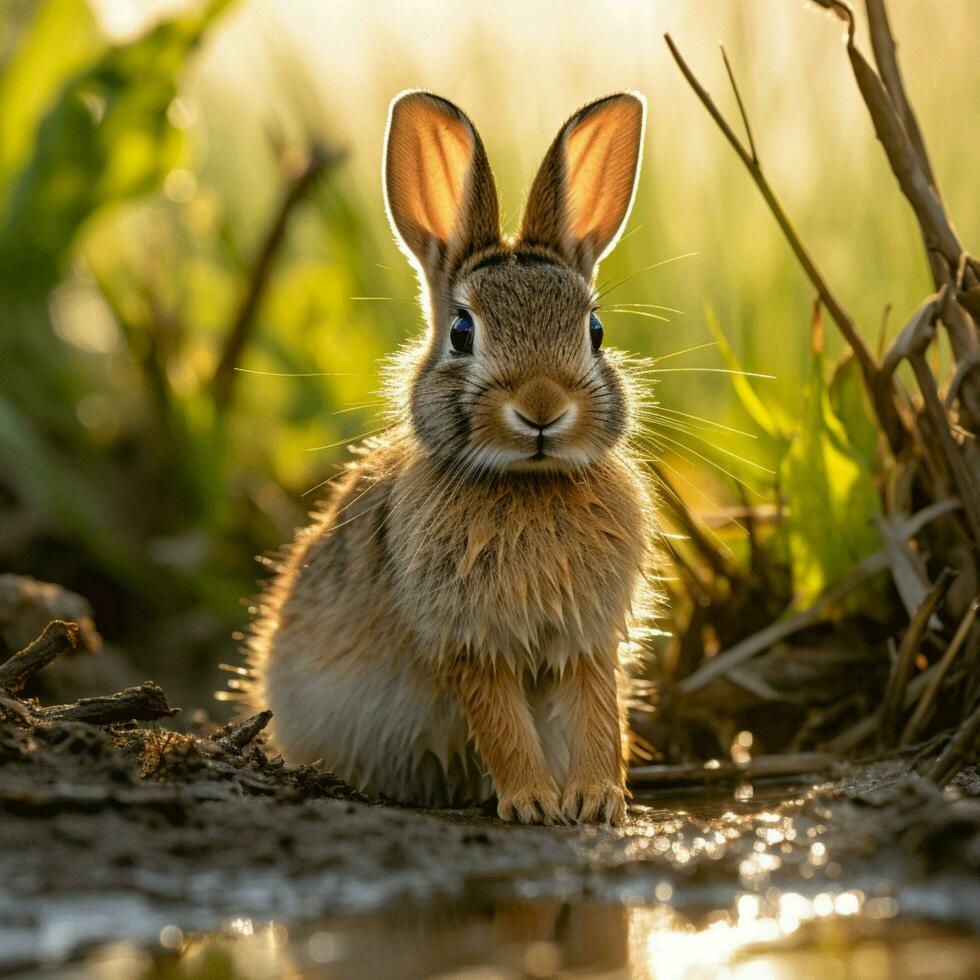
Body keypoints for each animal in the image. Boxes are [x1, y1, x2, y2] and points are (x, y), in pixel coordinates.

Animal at [245, 90, 660, 828]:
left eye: (595, 331)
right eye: (463, 332)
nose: (542, 407)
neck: (529, 481)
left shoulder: (586, 637)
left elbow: (597, 713)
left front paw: (597, 800)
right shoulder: (467, 639)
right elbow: (500, 722)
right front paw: (531, 802)